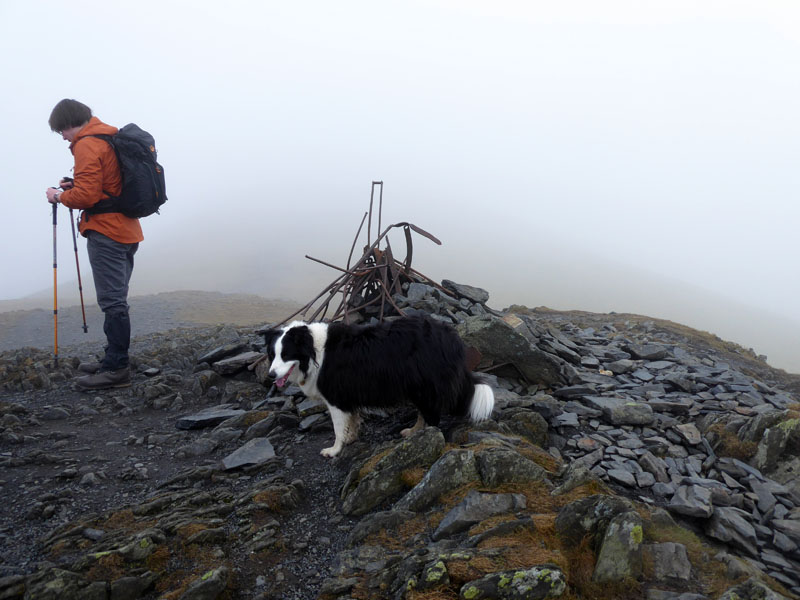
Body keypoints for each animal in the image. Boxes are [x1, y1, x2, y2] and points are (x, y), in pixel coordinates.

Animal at [262, 316, 494, 458]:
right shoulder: (347, 395)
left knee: (432, 416)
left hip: (426, 385)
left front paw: (334, 450)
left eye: (286, 354)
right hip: (416, 386)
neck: (312, 351)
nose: (271, 376)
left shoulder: (335, 398)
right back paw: (413, 432)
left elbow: (338, 428)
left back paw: (427, 437)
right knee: (423, 413)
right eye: (272, 354)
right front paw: (351, 438)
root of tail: (452, 339)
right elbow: (352, 420)